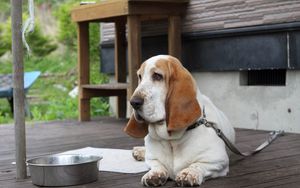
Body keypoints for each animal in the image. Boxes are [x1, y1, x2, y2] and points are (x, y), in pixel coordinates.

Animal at [123, 54, 234, 187]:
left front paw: (188, 174)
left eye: (157, 76)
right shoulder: (152, 159)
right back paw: (139, 151)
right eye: (140, 76)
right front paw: (154, 174)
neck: (171, 140)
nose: (133, 102)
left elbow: (197, 165)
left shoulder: (218, 161)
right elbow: (156, 165)